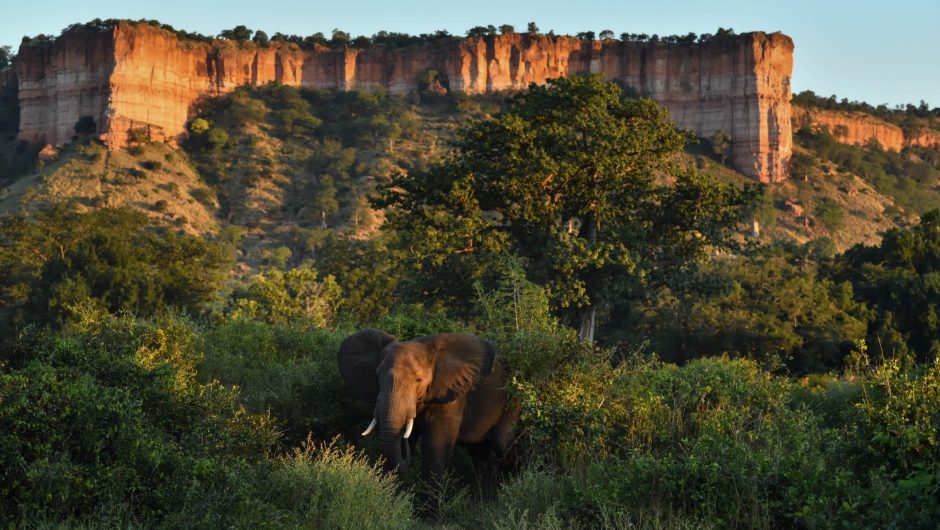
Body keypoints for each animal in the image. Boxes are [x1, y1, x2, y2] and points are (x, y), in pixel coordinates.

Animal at [336, 328, 516, 484]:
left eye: (418, 380)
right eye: (377, 375)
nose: (405, 448)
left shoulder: (452, 395)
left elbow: (434, 447)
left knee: (502, 442)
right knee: (479, 453)